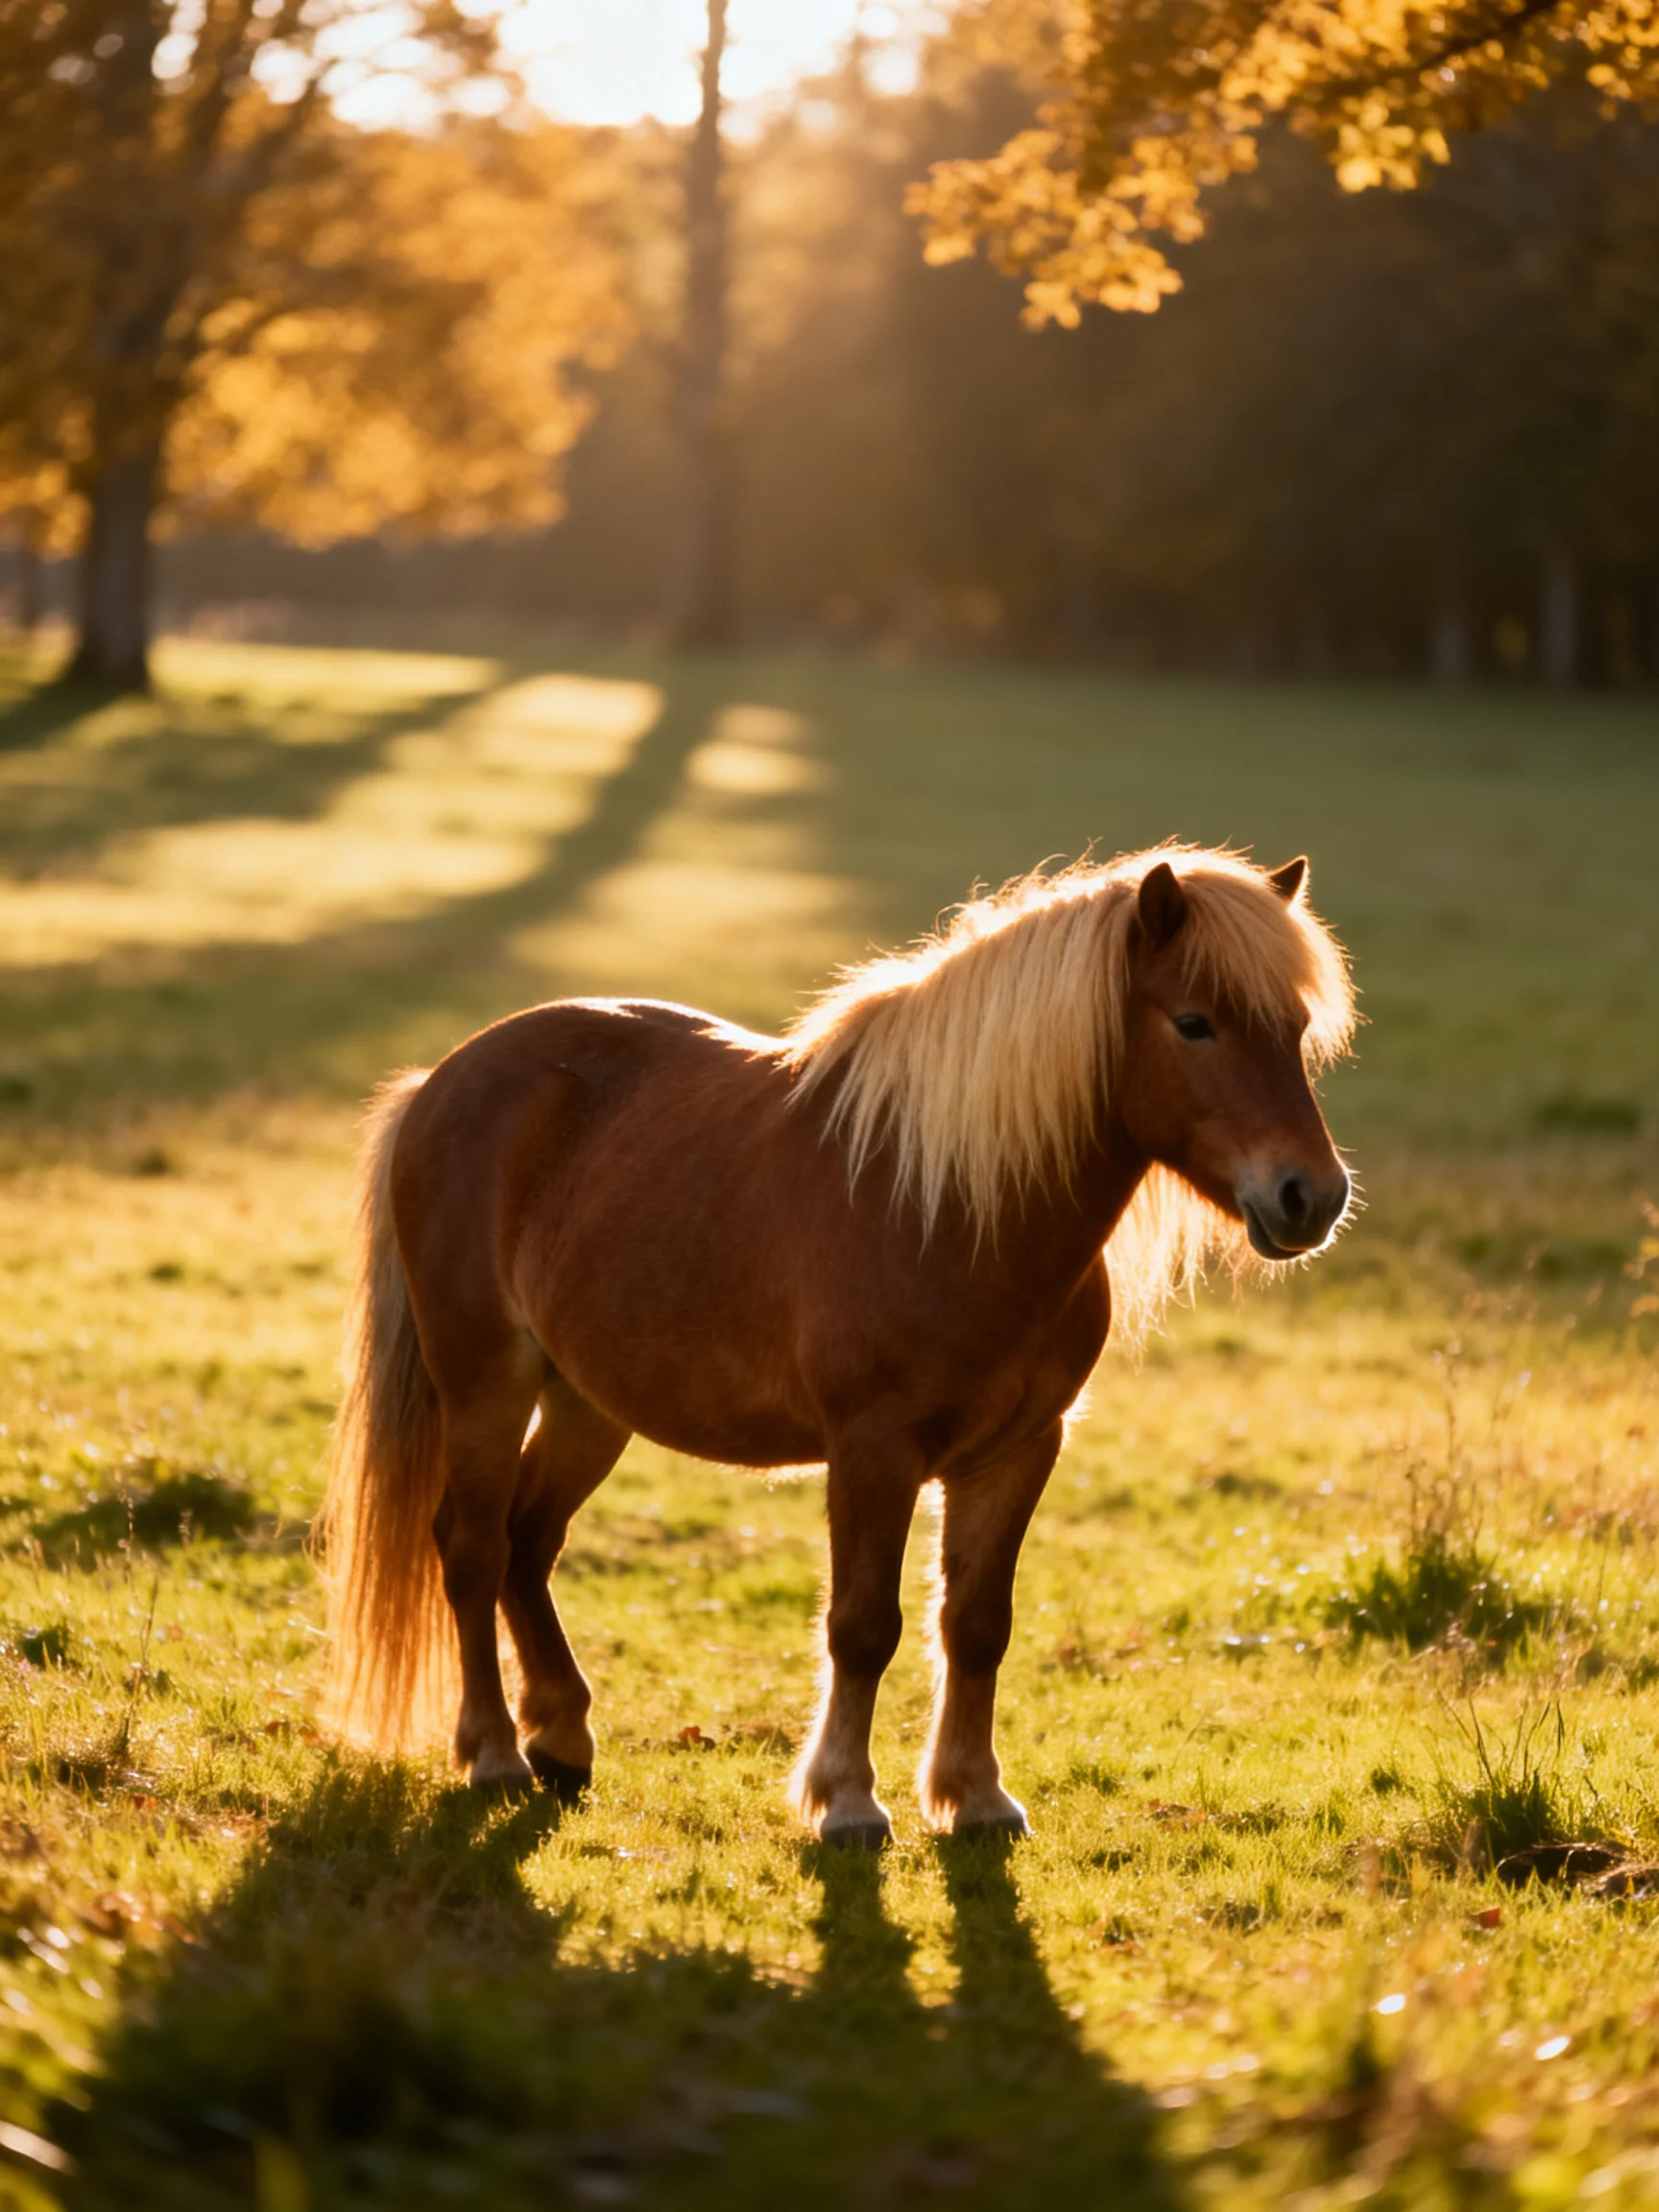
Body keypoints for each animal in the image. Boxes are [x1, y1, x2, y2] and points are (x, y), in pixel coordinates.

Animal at [317, 844, 1355, 1846]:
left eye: (1297, 1028)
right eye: (1194, 1023)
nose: (1311, 1196)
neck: (954, 1208)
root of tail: (439, 1081)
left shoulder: (1019, 1449)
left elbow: (977, 1623)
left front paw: (975, 1798)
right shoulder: (872, 1450)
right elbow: (863, 1626)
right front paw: (849, 1803)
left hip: (588, 1403)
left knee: (530, 1543)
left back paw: (564, 1738)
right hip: (485, 1385)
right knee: (473, 1547)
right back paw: (494, 1752)